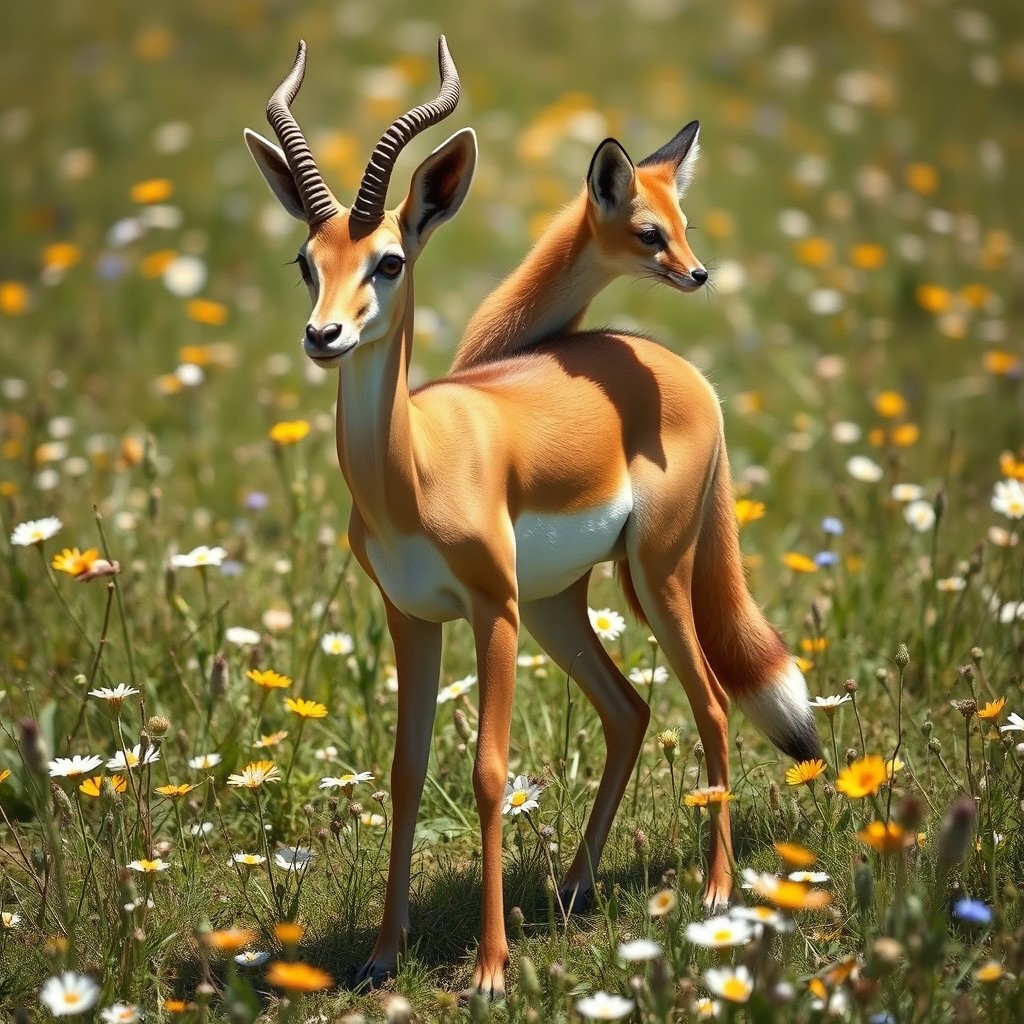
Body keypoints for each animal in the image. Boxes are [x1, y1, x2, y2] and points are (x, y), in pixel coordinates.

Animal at [245, 39, 821, 998]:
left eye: (390, 260)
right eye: (304, 259)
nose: (323, 337)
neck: (416, 466)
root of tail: (687, 373)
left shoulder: (493, 612)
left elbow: (487, 773)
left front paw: (487, 970)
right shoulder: (411, 618)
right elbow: (405, 773)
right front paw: (381, 955)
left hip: (651, 579)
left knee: (708, 701)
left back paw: (712, 891)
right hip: (561, 604)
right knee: (629, 710)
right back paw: (573, 887)